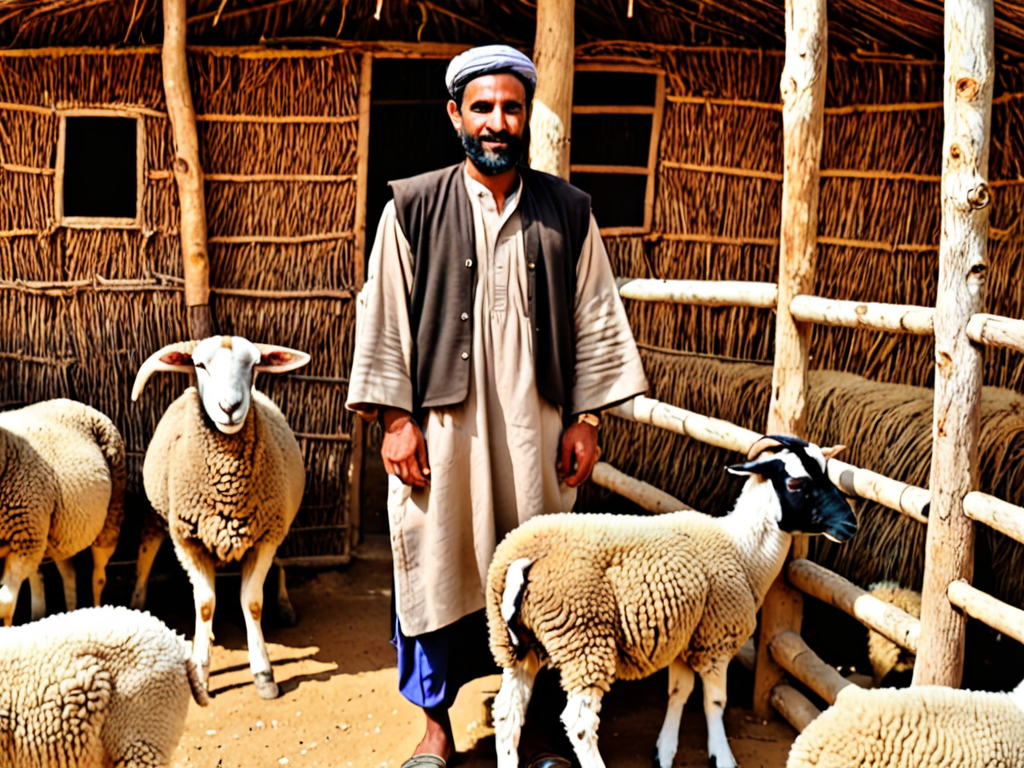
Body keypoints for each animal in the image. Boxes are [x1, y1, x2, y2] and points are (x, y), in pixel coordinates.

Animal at [0, 399, 126, 626]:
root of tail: (74, 402)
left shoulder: (24, 541)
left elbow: (4, 605)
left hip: (111, 517)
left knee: (98, 577)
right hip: (58, 534)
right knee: (65, 574)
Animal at [129, 335, 310, 700]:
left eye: (255, 364)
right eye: (199, 364)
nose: (230, 407)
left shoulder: (266, 535)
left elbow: (252, 604)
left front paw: (264, 674)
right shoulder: (188, 539)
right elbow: (205, 605)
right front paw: (201, 669)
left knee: (282, 565)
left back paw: (285, 606)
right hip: (158, 512)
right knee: (146, 548)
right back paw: (139, 600)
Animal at [486, 435, 858, 768]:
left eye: (827, 473)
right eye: (796, 483)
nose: (850, 524)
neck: (742, 548)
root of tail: (523, 560)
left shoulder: (685, 637)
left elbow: (679, 692)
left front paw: (664, 752)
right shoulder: (715, 640)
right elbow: (715, 701)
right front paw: (722, 757)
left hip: (518, 646)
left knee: (505, 715)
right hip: (584, 638)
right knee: (579, 725)